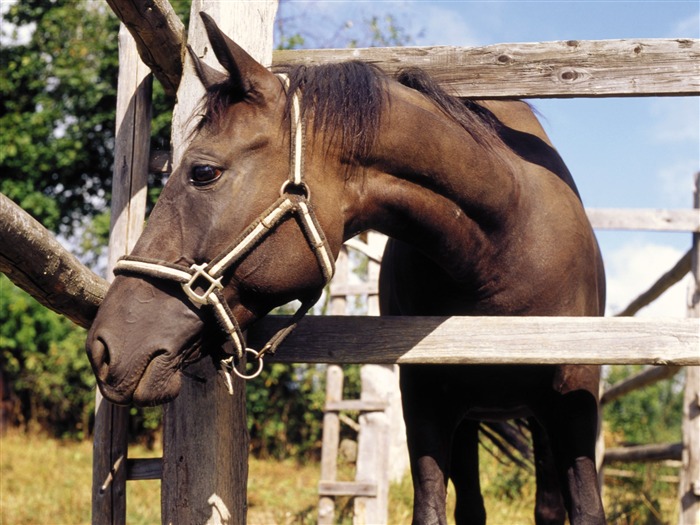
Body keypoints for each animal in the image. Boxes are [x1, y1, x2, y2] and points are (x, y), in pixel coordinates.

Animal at [86, 13, 608, 524]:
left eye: (203, 172)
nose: (103, 346)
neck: (501, 243)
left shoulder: (575, 399)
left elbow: (585, 508)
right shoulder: (426, 400)